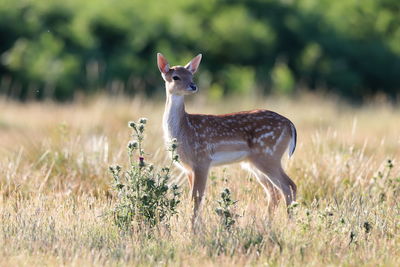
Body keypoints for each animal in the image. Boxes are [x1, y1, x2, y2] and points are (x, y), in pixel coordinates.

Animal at [156, 52, 296, 226]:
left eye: (191, 75)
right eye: (175, 77)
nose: (193, 86)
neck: (183, 130)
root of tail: (290, 124)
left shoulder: (202, 160)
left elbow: (196, 198)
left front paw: (193, 228)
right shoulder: (188, 167)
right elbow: (194, 198)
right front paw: (197, 226)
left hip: (269, 155)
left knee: (288, 186)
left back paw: (289, 224)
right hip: (255, 162)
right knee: (274, 192)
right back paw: (266, 224)